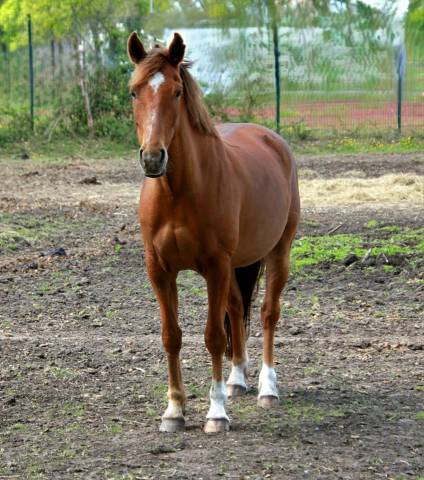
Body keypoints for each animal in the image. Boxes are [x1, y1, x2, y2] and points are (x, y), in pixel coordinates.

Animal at [127, 31, 300, 434]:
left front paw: (216, 412)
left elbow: (214, 338)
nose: (153, 158)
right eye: (134, 91)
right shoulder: (159, 270)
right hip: (237, 264)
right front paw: (174, 410)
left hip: (278, 252)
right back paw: (237, 380)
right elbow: (171, 336)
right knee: (237, 309)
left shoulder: (215, 267)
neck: (178, 193)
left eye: (176, 91)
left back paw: (268, 388)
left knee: (268, 313)